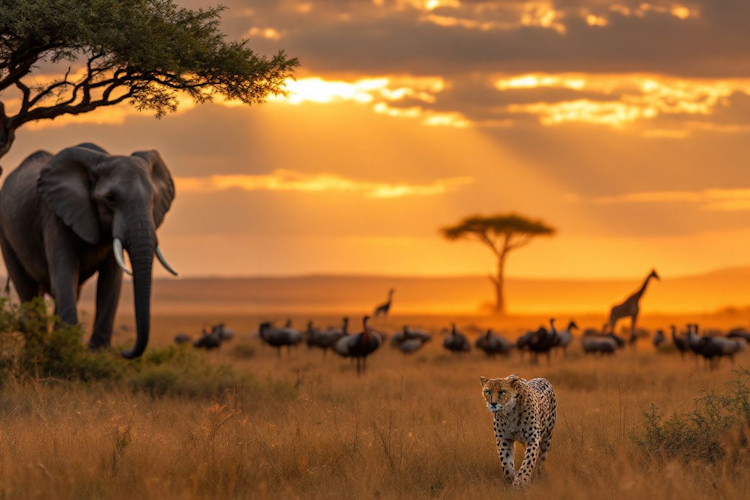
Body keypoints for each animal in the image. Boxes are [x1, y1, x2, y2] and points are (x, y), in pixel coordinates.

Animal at [0, 143, 177, 358]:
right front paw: (68, 351)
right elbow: (64, 275)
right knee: (28, 290)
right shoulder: (54, 214)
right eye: (111, 198)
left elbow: (111, 283)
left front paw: (98, 354)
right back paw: (37, 350)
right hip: (6, 234)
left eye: (154, 198)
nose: (125, 352)